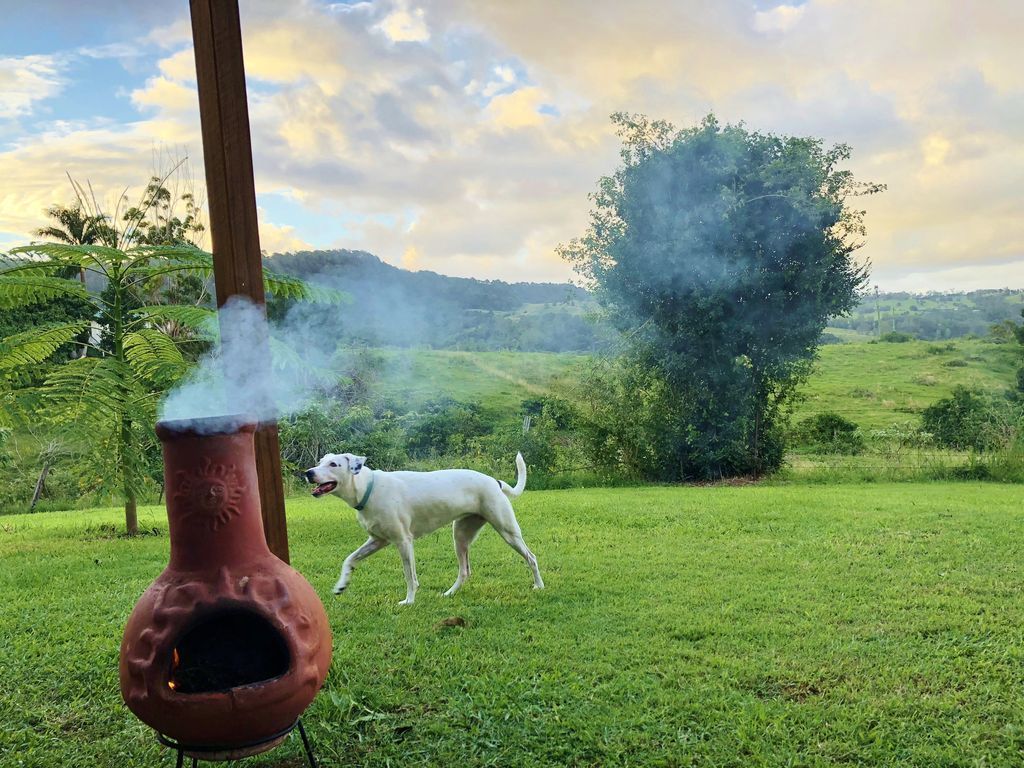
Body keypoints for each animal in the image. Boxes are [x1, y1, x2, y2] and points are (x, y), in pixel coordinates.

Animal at [303, 450, 544, 606]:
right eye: (320, 461)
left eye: (334, 464)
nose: (308, 472)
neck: (368, 488)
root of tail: (495, 482)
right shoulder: (377, 540)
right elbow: (349, 559)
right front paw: (341, 585)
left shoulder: (403, 542)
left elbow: (409, 576)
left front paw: (409, 601)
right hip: (460, 536)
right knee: (464, 571)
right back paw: (449, 594)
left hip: (507, 531)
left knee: (531, 557)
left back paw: (539, 586)